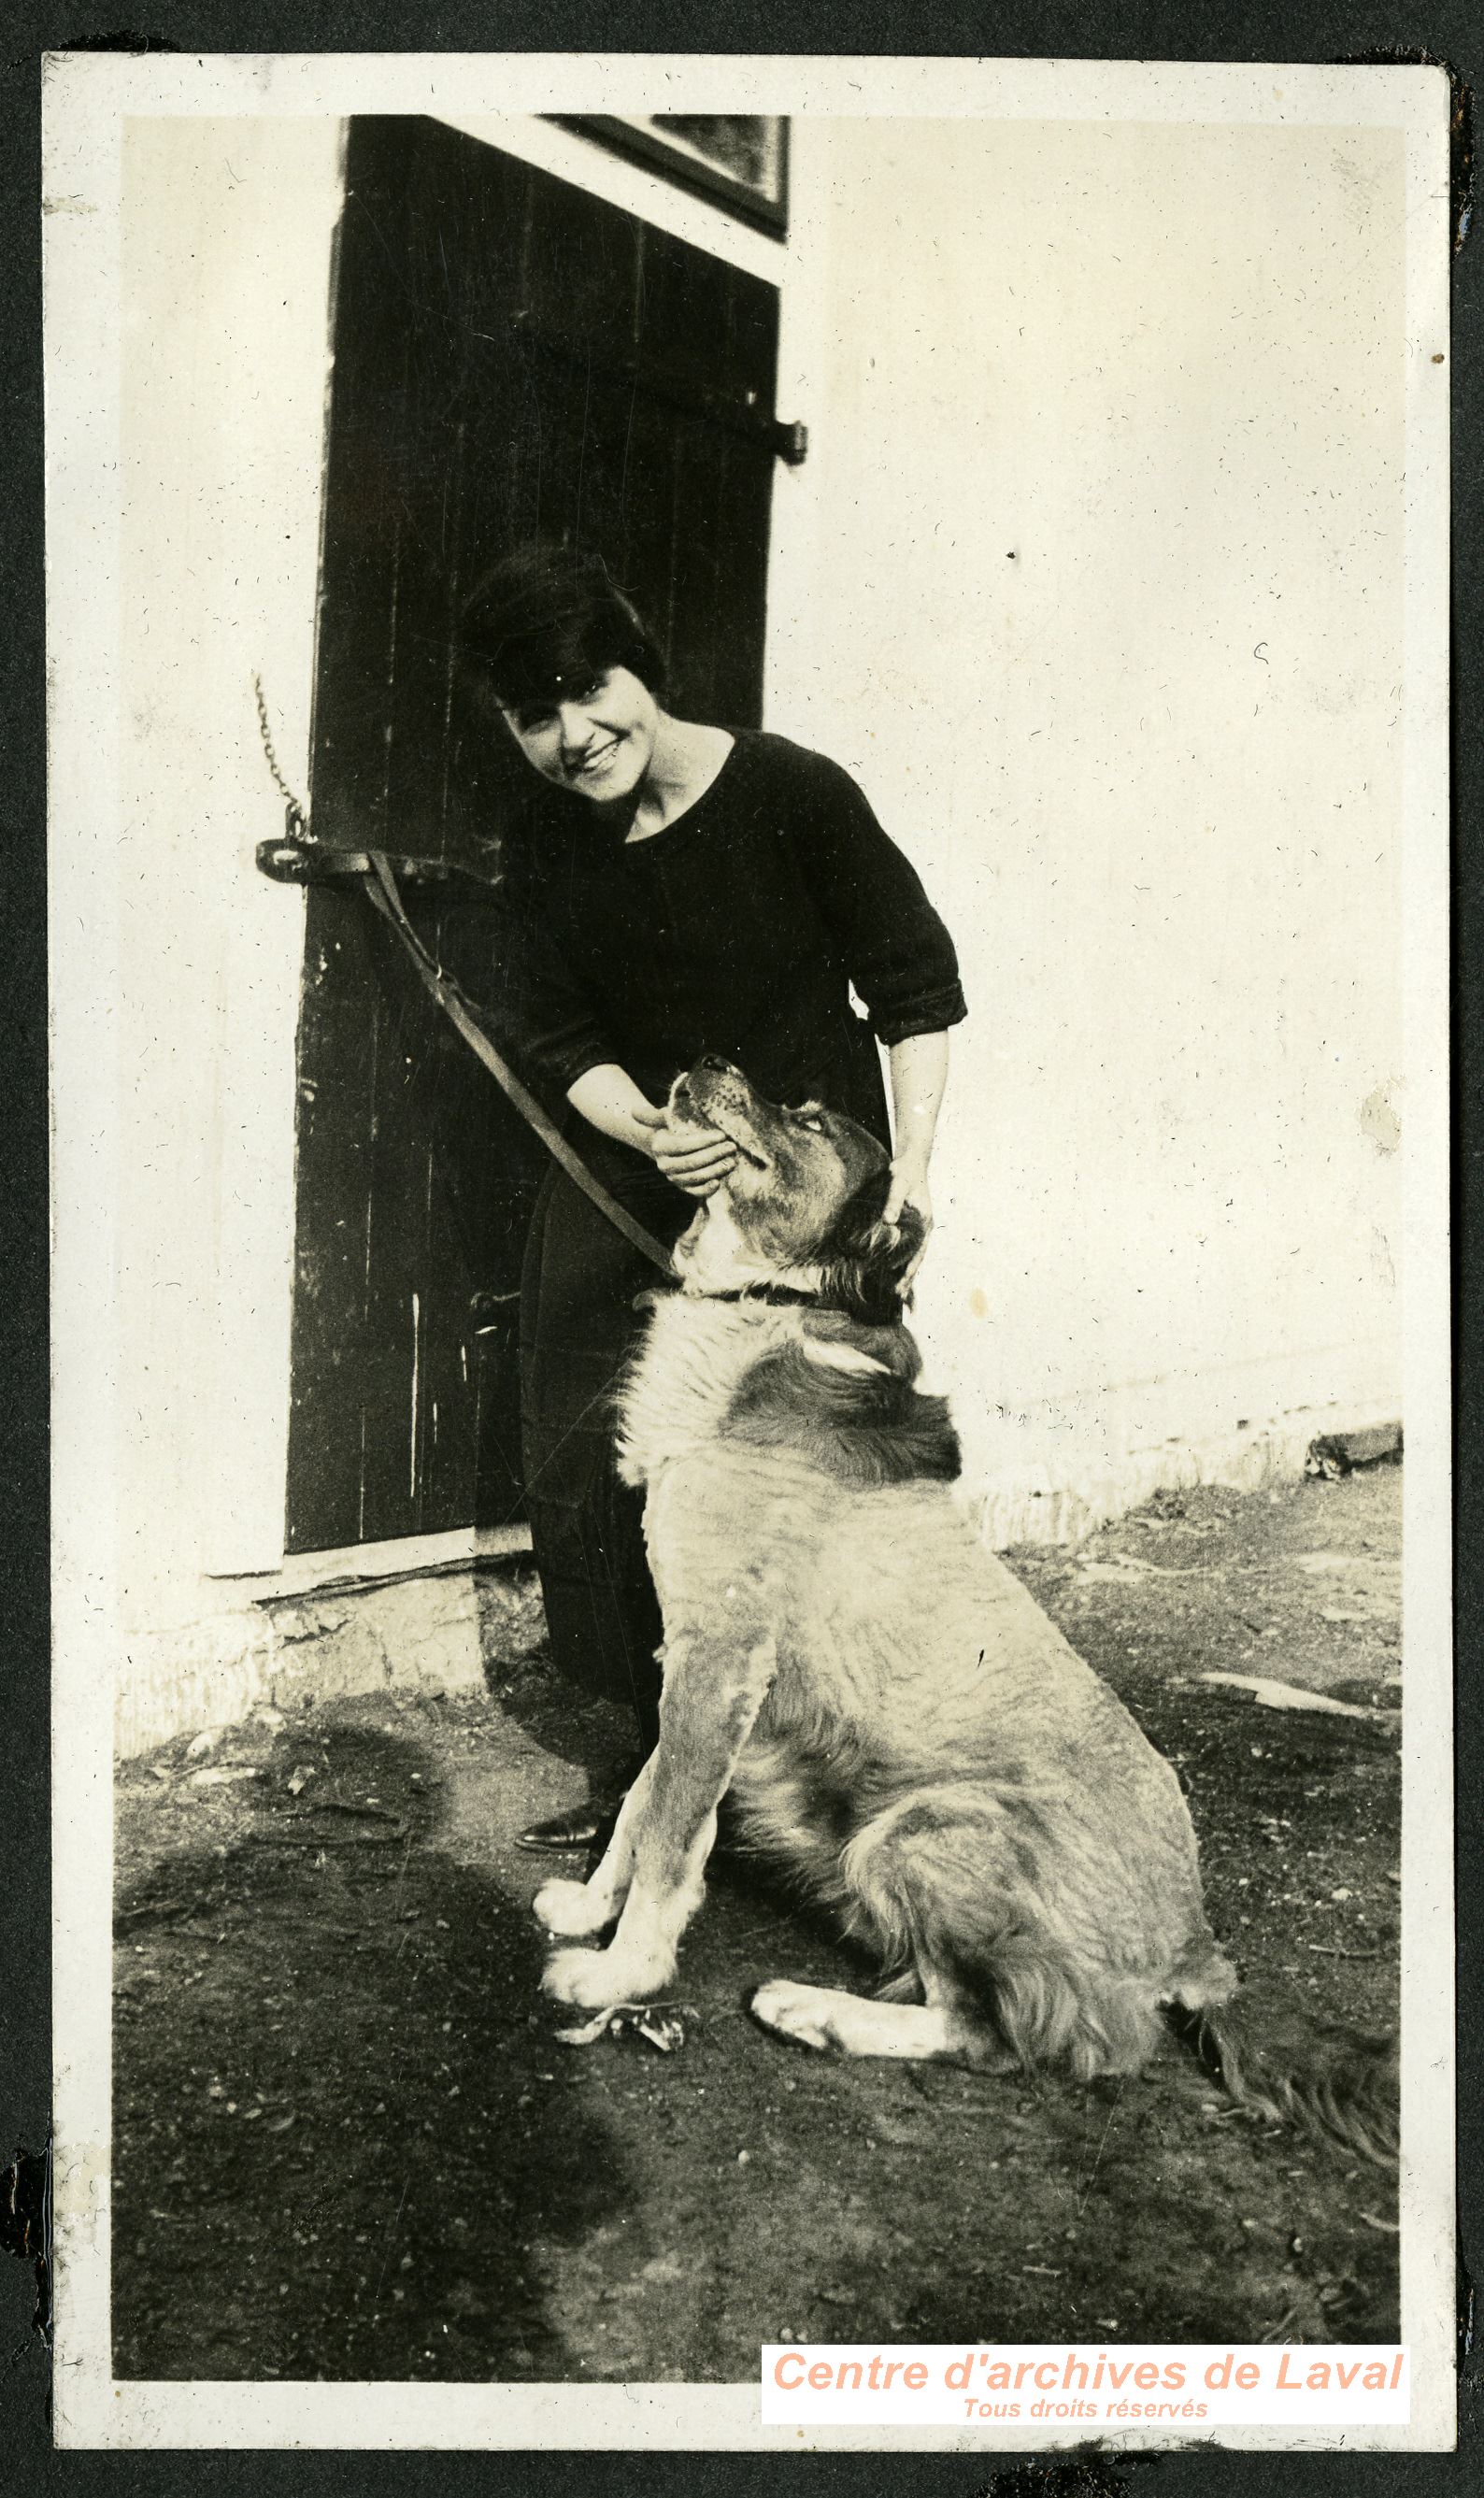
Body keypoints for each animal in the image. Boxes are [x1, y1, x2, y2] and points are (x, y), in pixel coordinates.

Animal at [536, 1054, 1389, 2148]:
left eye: (810, 1118)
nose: (711, 1061)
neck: (773, 1308)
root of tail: (1195, 1950)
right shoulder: (697, 1665)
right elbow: (646, 1805)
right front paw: (588, 1911)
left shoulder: (719, 1655)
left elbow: (671, 1840)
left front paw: (620, 1974)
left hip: (920, 1826)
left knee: (1011, 2036)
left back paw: (810, 2009)